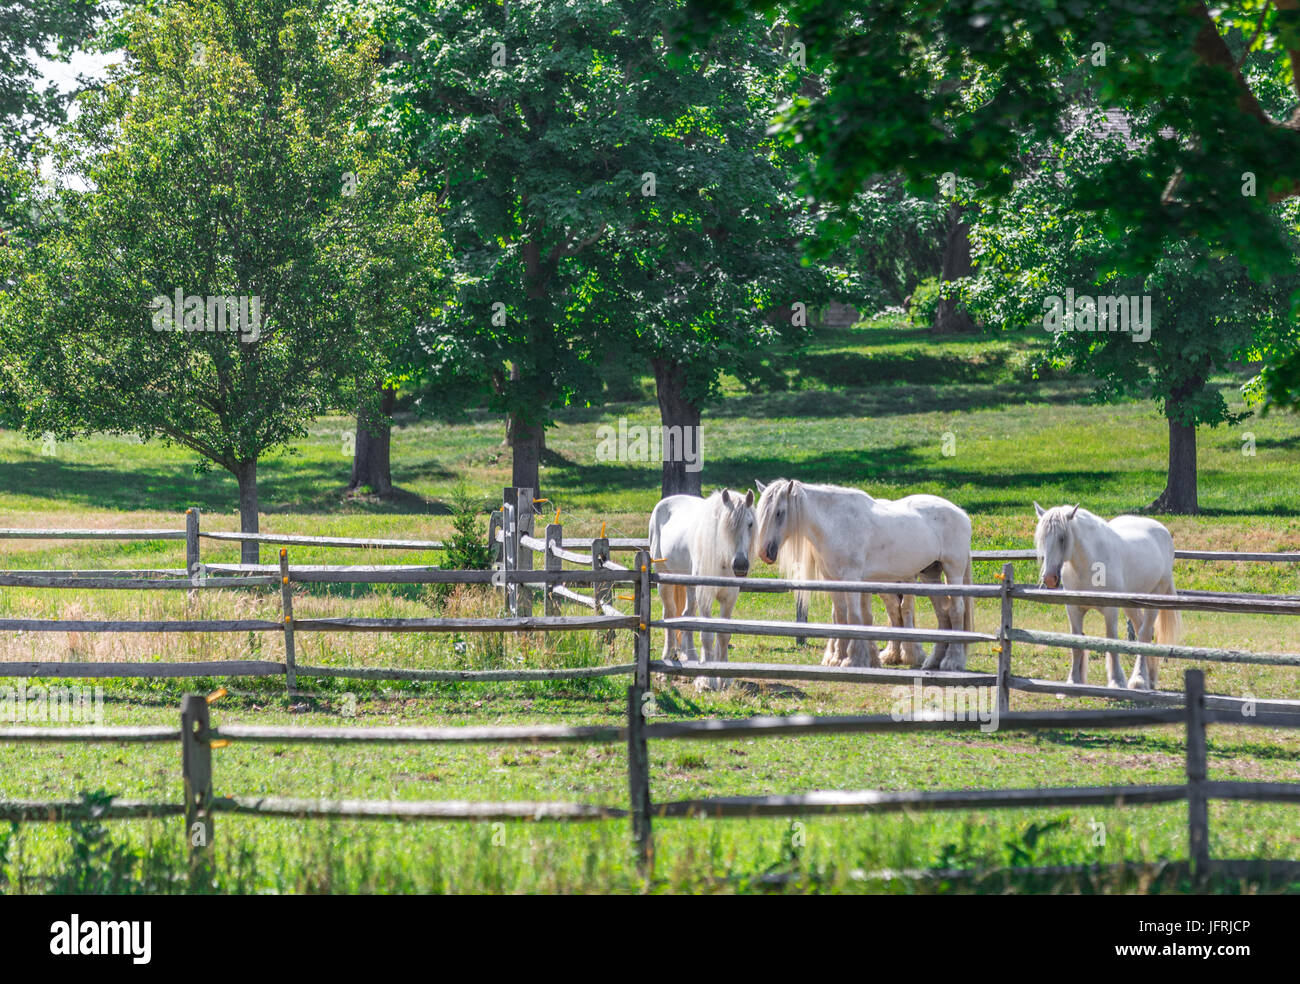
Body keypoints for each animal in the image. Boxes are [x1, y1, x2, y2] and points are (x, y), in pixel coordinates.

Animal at [647, 486, 759, 686]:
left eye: (750, 524)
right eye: (725, 525)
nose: (740, 565)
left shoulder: (729, 599)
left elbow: (724, 635)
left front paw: (725, 679)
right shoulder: (705, 597)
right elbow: (707, 635)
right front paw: (707, 680)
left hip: (689, 586)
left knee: (687, 615)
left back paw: (691, 659)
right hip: (665, 581)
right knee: (669, 616)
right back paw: (666, 663)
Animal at [754, 480, 977, 670]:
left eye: (779, 513)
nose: (765, 553)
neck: (836, 523)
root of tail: (962, 514)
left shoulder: (851, 579)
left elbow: (855, 617)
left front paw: (853, 659)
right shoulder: (832, 580)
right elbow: (840, 617)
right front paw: (837, 658)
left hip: (952, 572)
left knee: (956, 610)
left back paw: (952, 662)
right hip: (930, 575)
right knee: (942, 613)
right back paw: (933, 661)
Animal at [1029, 501, 1185, 686]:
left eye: (1062, 537)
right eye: (1042, 538)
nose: (1050, 578)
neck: (1089, 566)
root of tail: (1163, 531)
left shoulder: (1111, 609)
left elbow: (1111, 641)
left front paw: (1116, 680)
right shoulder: (1073, 609)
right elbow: (1076, 642)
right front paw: (1074, 680)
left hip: (1154, 597)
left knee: (1144, 634)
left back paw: (1139, 679)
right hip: (1131, 605)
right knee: (1142, 630)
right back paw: (1151, 677)